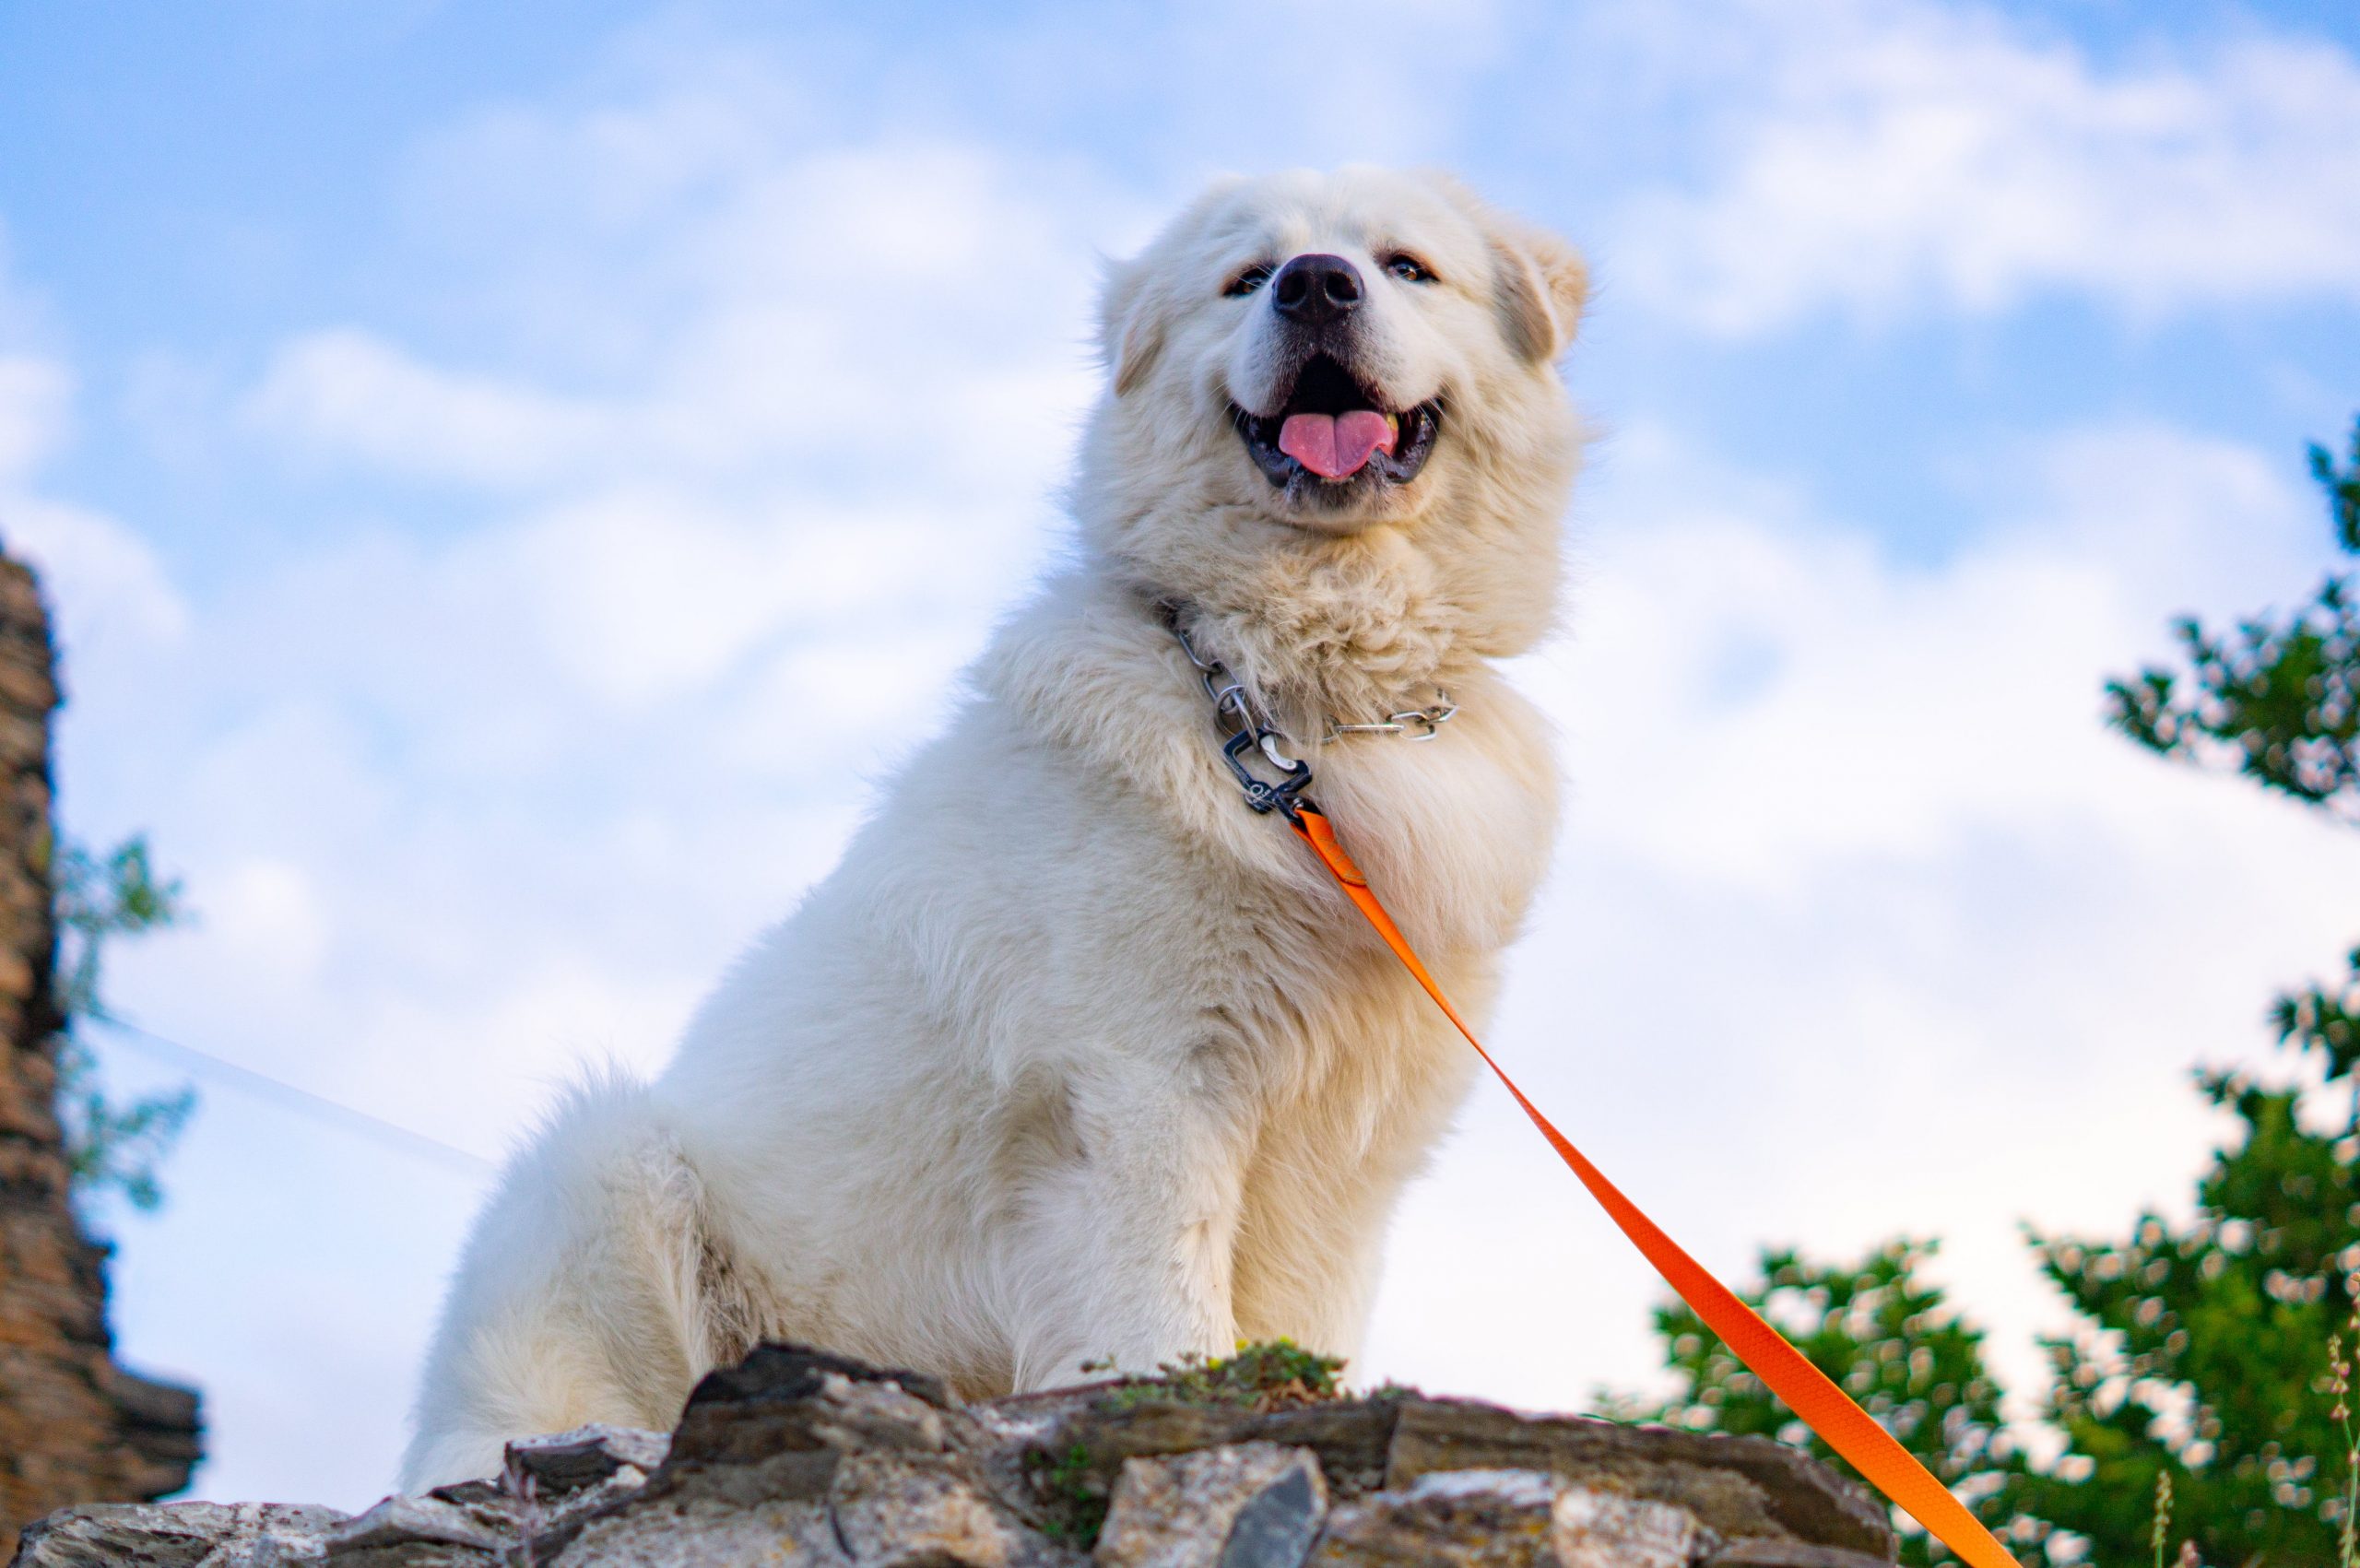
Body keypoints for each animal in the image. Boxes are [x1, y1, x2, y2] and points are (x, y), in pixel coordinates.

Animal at [401, 165, 1586, 1492]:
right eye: (1245, 280)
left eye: (1404, 267)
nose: (1316, 286)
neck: (1299, 693)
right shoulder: (1141, 1090)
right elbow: (1162, 1309)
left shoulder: (1349, 1146)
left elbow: (1304, 1319)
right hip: (601, 1166)